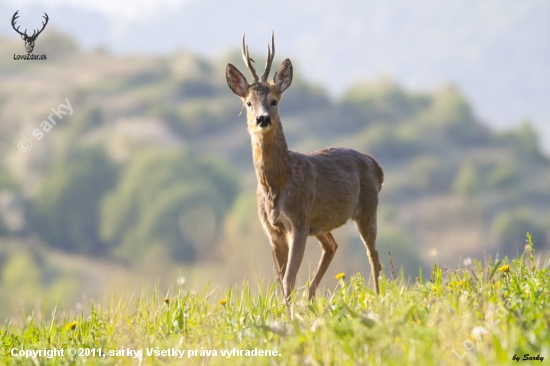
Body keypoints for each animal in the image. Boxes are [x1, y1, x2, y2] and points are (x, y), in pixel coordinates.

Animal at [225, 32, 384, 300]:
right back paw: (309, 299)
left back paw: (377, 296)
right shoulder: (273, 231)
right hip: (319, 223)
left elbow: (289, 279)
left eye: (274, 101)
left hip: (367, 209)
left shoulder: (298, 222)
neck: (277, 183)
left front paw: (291, 312)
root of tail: (376, 165)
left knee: (373, 255)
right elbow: (281, 281)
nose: (262, 119)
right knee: (332, 245)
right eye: (248, 103)